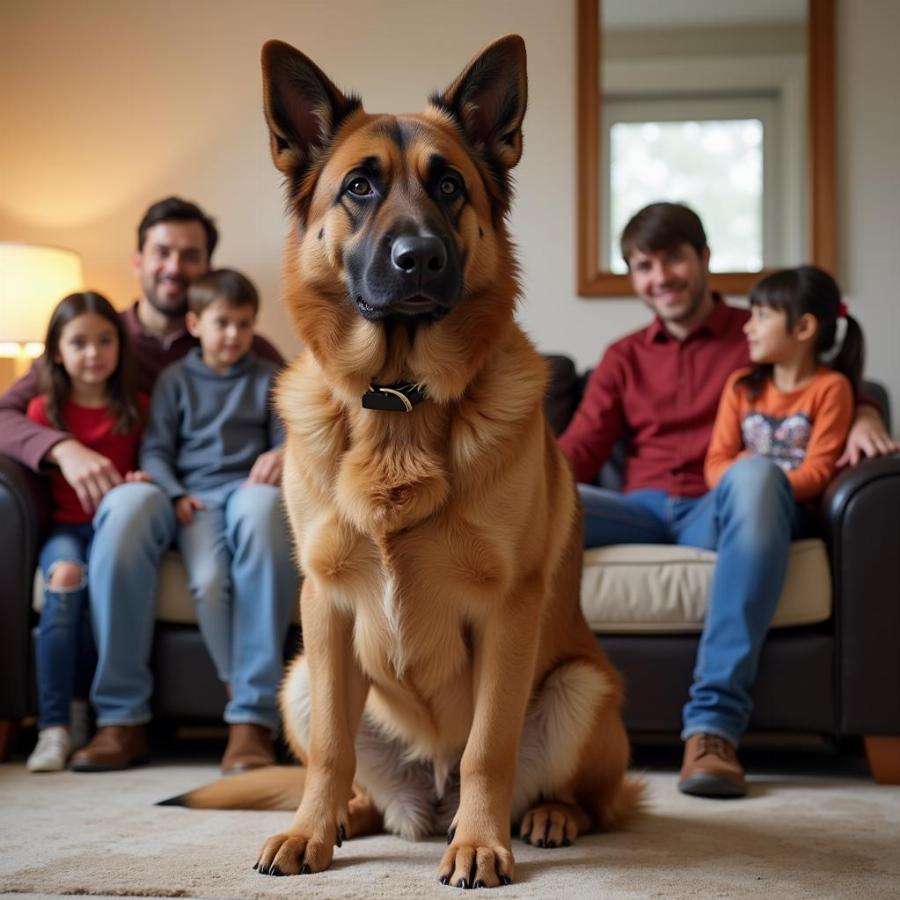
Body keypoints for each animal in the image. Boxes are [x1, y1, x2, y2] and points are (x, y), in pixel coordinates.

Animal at [192, 33, 640, 884]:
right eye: (359, 186)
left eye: (450, 186)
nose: (419, 258)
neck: (398, 401)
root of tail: (424, 802)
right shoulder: (325, 606)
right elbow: (328, 752)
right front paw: (309, 833)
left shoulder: (508, 612)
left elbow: (487, 749)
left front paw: (481, 843)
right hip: (300, 679)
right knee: (345, 771)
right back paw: (346, 817)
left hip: (583, 687)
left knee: (594, 797)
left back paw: (545, 817)